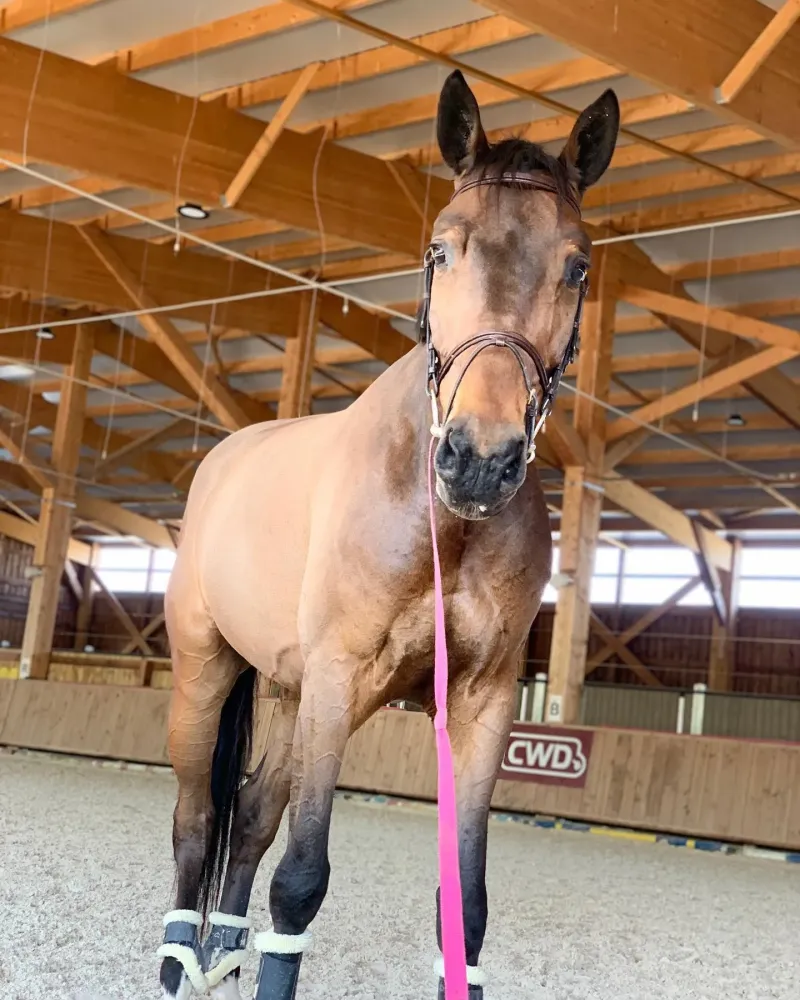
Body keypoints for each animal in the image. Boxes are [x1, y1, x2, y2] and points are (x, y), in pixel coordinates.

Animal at [157, 69, 619, 1000]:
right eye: (441, 251)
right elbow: (301, 883)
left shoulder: (479, 705)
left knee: (249, 816)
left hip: (291, 694)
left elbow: (464, 905)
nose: (480, 460)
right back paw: (177, 960)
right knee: (195, 821)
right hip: (208, 674)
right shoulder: (340, 678)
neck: (439, 520)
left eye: (576, 266)